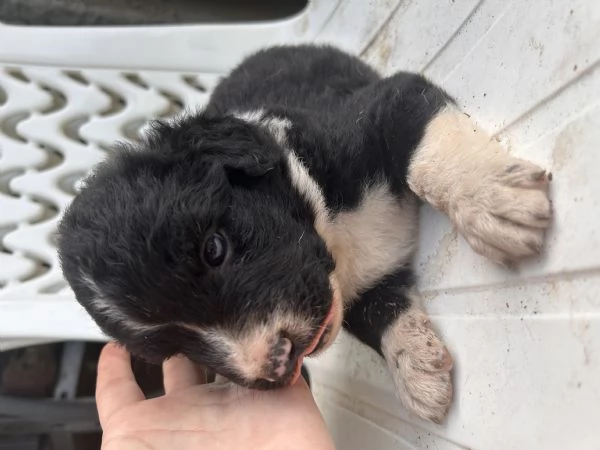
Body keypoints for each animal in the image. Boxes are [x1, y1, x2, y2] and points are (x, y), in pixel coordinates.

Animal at [57, 44, 552, 422]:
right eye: (173, 345)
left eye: (214, 249)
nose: (277, 363)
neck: (330, 225)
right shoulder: (356, 291)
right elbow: (378, 312)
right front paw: (418, 372)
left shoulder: (387, 104)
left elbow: (427, 155)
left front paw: (492, 198)